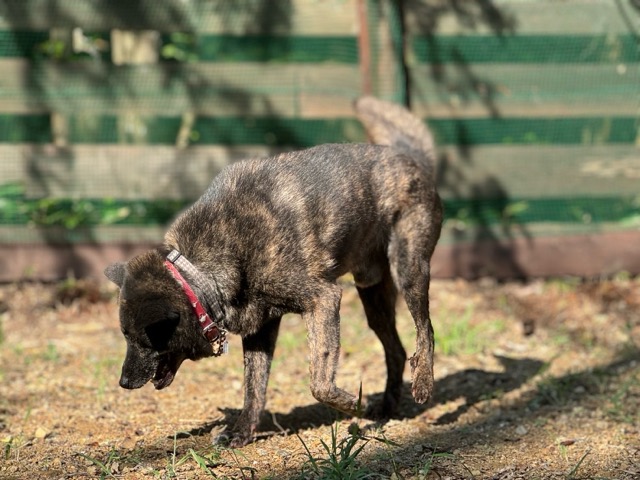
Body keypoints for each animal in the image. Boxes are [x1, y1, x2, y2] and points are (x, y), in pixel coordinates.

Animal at [104, 96, 443, 447]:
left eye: (141, 338)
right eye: (126, 336)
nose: (123, 382)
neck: (200, 273)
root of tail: (413, 159)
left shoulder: (324, 299)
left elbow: (319, 382)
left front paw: (353, 403)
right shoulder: (259, 329)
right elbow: (254, 387)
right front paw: (240, 433)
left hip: (409, 268)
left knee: (426, 330)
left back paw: (422, 385)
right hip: (372, 295)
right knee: (397, 350)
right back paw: (387, 407)